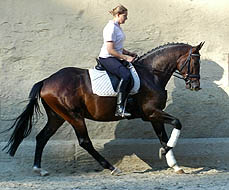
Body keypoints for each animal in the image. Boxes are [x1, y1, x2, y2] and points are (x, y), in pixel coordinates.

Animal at [2, 42, 204, 176]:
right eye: (195, 63)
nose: (195, 86)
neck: (151, 74)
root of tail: (46, 81)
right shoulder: (151, 113)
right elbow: (177, 123)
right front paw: (166, 153)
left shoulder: (153, 116)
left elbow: (163, 137)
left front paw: (174, 164)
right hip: (74, 116)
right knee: (85, 142)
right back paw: (112, 168)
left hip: (57, 116)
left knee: (42, 137)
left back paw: (39, 169)